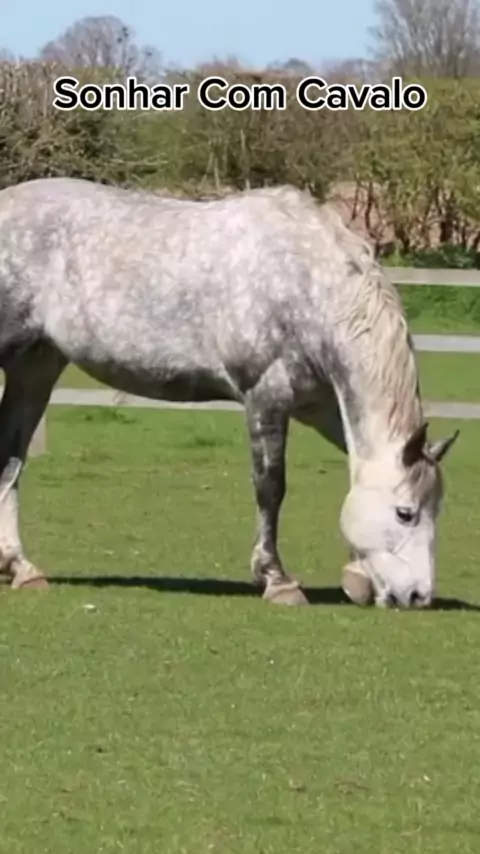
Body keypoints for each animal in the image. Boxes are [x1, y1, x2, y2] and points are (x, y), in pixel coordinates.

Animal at [0, 179, 458, 608]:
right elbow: (271, 487)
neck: (305, 284)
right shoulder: (266, 397)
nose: (416, 596)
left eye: (436, 508)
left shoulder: (322, 407)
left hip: (35, 369)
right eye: (405, 513)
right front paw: (277, 580)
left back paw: (22, 568)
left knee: (10, 461)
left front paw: (357, 575)